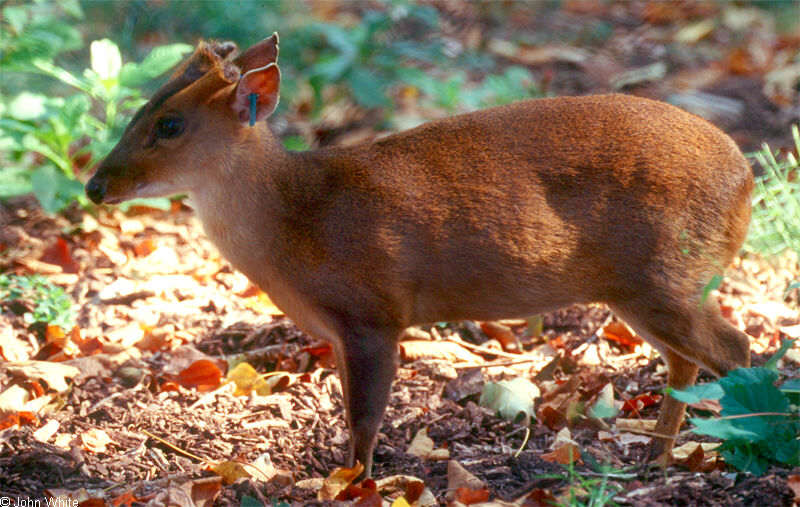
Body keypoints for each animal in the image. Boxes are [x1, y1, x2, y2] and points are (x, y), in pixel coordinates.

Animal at [87, 36, 752, 480]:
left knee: (736, 348)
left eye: (170, 124)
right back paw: (656, 459)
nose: (95, 185)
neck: (298, 218)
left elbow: (365, 417)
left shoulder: (374, 314)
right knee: (688, 361)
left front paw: (351, 484)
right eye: (139, 110)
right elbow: (351, 411)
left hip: (665, 275)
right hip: (651, 287)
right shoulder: (340, 330)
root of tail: (747, 179)